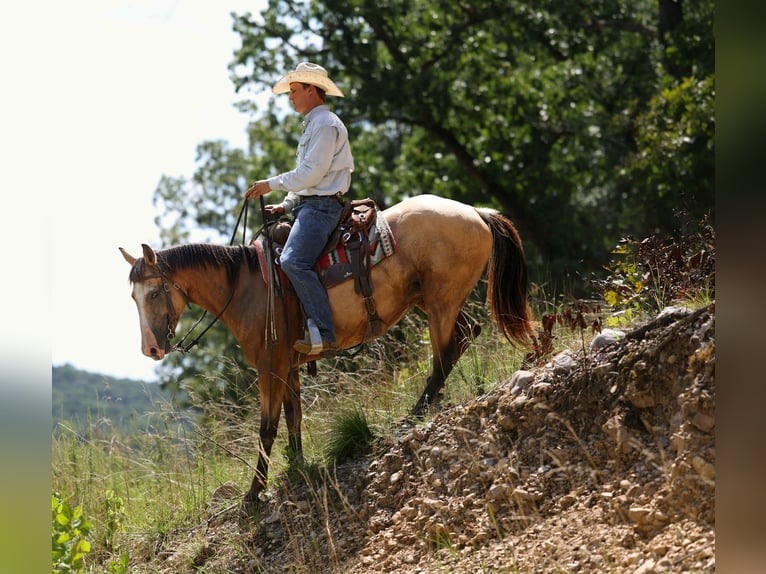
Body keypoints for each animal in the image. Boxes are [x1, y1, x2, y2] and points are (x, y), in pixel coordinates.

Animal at [120, 194, 533, 512]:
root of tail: (475, 211)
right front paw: (297, 465)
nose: (151, 348)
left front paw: (253, 495)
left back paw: (416, 413)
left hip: (440, 301)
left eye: (153, 293)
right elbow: (293, 417)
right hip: (433, 300)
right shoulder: (289, 364)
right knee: (464, 335)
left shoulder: (270, 366)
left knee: (445, 351)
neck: (248, 288)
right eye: (133, 297)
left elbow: (267, 427)